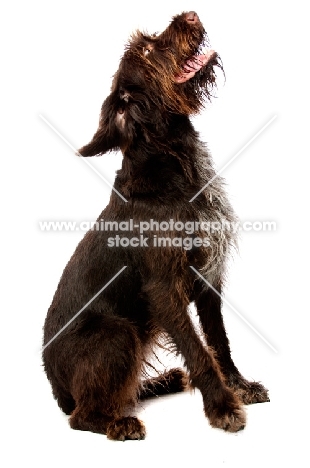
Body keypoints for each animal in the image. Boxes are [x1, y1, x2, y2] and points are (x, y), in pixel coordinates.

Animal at [42, 11, 268, 442]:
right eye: (147, 51)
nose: (191, 14)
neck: (176, 165)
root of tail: (54, 385)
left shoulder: (208, 275)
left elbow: (219, 340)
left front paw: (239, 385)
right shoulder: (165, 289)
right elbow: (198, 350)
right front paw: (221, 405)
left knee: (122, 391)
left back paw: (161, 382)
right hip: (117, 333)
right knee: (82, 415)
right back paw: (119, 424)